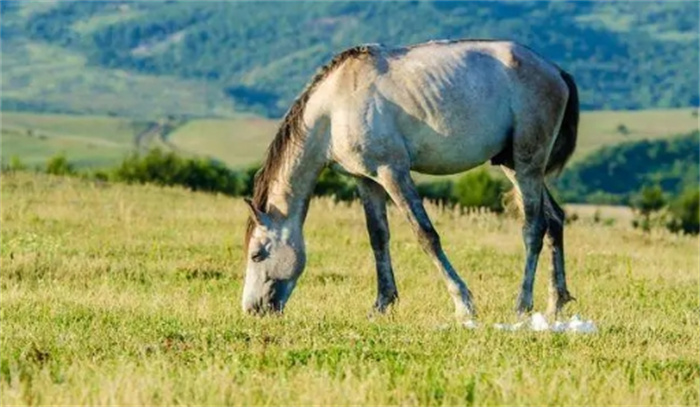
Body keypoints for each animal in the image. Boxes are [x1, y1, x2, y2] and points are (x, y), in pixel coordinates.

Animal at [241, 39, 580, 322]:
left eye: (257, 254)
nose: (252, 309)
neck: (334, 108)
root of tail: (556, 71)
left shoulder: (393, 172)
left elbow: (425, 235)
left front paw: (463, 304)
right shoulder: (367, 181)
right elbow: (378, 237)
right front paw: (381, 304)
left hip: (526, 164)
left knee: (534, 228)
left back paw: (522, 305)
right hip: (514, 165)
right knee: (554, 219)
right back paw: (556, 303)